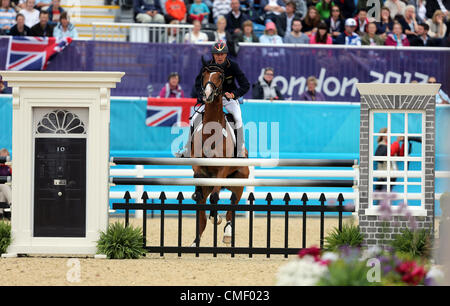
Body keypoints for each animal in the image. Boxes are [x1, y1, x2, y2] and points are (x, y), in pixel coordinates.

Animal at [190, 61, 250, 245]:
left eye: (220, 76)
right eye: (203, 75)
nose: (207, 94)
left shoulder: (222, 169)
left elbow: (215, 198)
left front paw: (216, 217)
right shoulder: (199, 169)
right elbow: (201, 192)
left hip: (239, 182)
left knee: (232, 204)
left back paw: (227, 233)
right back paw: (195, 241)